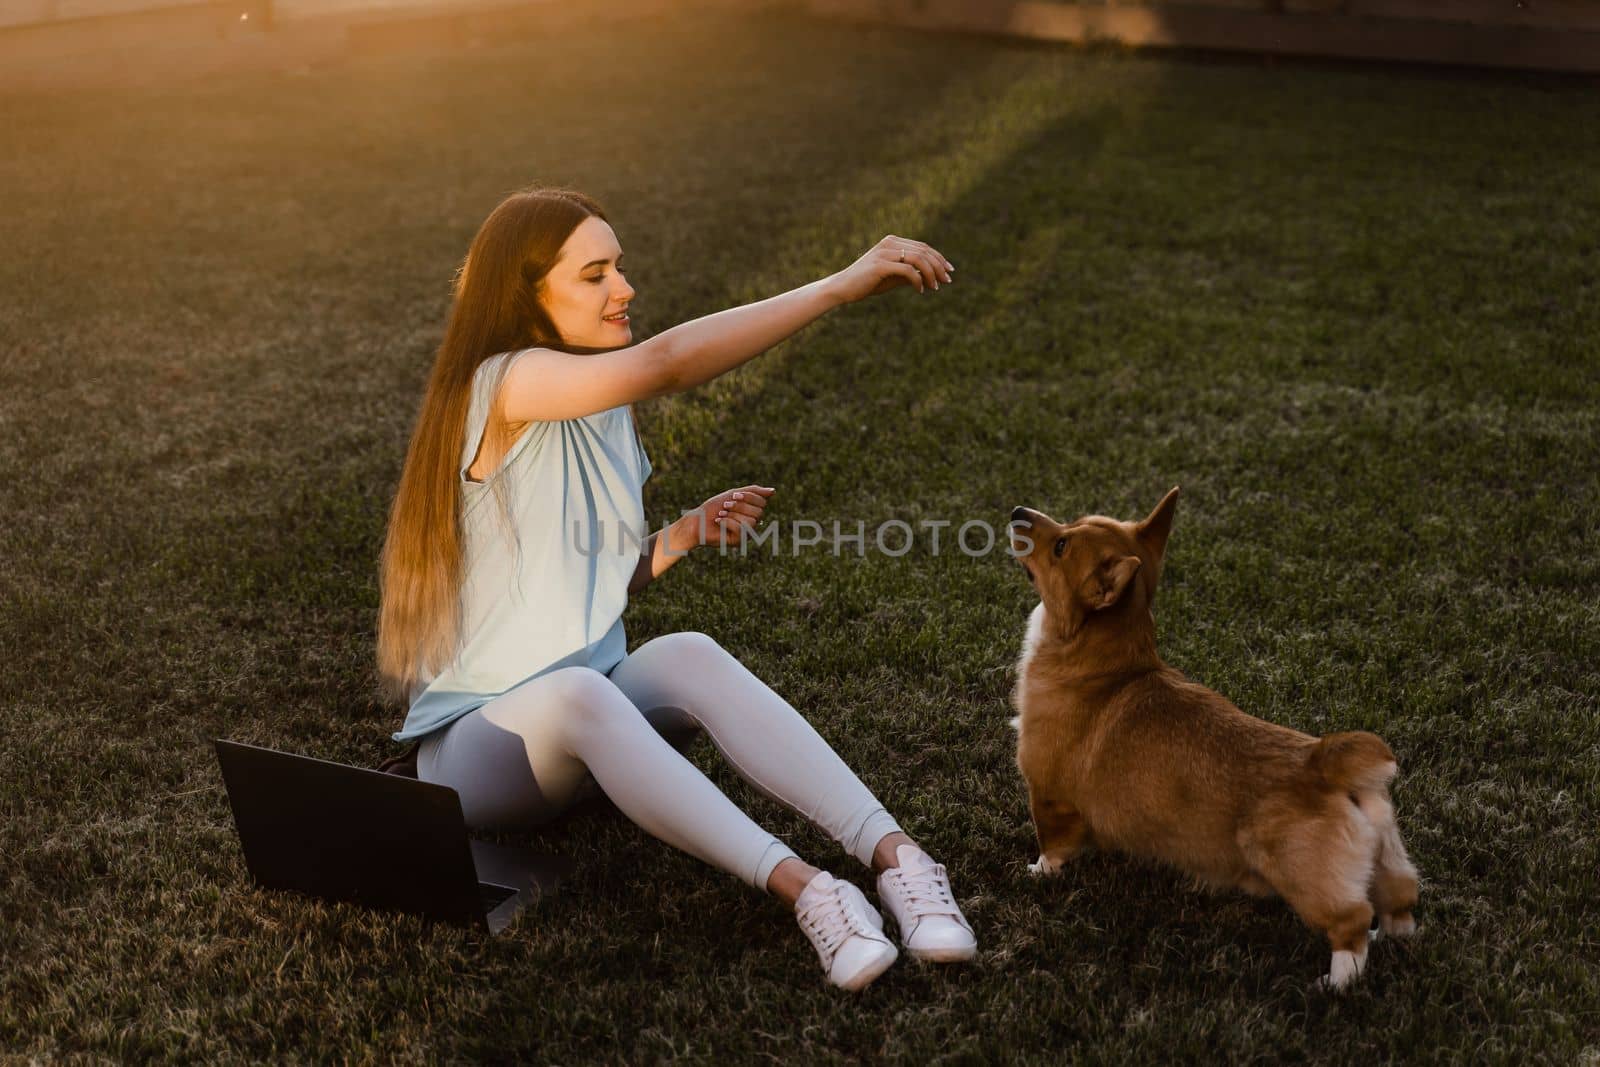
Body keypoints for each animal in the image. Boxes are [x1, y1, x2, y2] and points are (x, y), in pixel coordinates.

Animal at [1004, 489, 1420, 991]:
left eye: (1061, 546)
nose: (1017, 512)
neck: (1104, 660)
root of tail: (1326, 763)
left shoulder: (1047, 795)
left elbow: (1052, 845)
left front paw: (1037, 873)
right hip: (1388, 861)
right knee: (1400, 902)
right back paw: (1390, 939)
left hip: (1303, 876)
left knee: (1350, 924)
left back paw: (1335, 983)